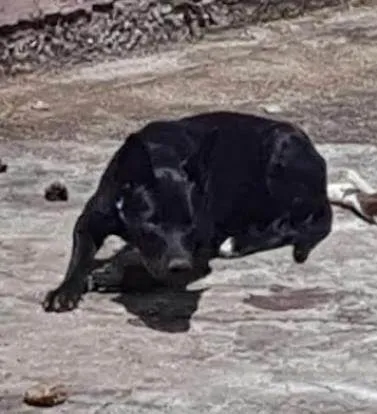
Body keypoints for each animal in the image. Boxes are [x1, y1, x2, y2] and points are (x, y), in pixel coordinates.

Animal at [42, 111, 330, 312]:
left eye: (191, 225)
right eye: (151, 223)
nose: (180, 267)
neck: (161, 158)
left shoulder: (200, 250)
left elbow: (152, 275)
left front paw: (114, 277)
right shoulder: (90, 221)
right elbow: (80, 257)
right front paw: (64, 290)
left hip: (281, 149)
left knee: (290, 225)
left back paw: (239, 242)